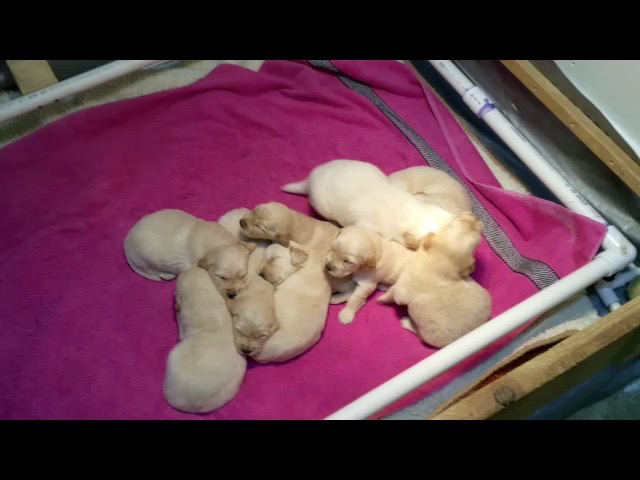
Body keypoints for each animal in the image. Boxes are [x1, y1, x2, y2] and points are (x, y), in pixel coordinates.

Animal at [377, 212, 491, 348]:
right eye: (478, 235)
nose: (475, 216)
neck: (441, 261)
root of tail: (465, 337)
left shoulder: (402, 288)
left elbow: (392, 293)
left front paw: (382, 297)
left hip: (427, 335)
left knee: (420, 336)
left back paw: (407, 323)